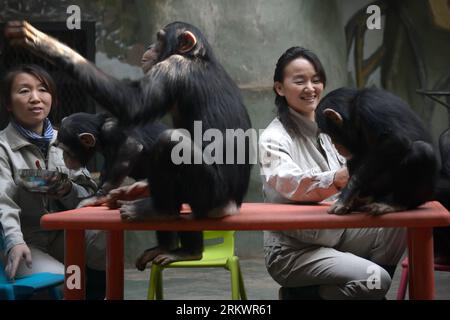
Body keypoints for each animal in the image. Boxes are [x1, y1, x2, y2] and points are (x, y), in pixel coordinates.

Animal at [4, 20, 253, 264]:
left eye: (160, 39)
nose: (150, 48)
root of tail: (233, 206)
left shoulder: (172, 68)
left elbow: (134, 111)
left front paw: (44, 43)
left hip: (212, 195)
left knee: (170, 142)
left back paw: (162, 216)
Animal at [314, 87, 438, 215]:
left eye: (331, 134)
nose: (334, 144)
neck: (353, 111)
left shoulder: (368, 106)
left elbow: (396, 139)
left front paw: (346, 194)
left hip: (421, 197)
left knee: (422, 150)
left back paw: (394, 204)